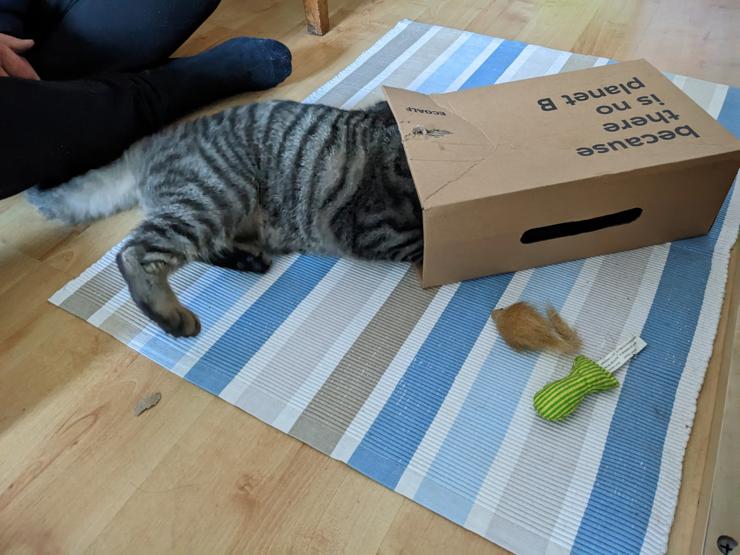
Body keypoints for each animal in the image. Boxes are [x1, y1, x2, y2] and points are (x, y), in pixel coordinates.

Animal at [27, 100, 422, 338]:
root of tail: (146, 146)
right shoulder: (373, 226)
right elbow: (420, 244)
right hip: (217, 195)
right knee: (134, 251)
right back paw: (168, 313)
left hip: (221, 211)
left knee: (199, 248)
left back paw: (245, 259)